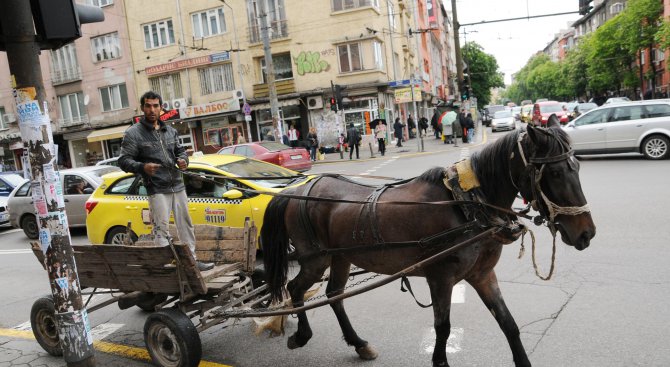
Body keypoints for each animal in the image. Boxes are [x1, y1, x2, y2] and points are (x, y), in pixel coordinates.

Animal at [262, 115, 600, 367]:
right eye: (554, 173)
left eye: (577, 166)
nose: (587, 233)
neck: (468, 204)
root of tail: (296, 189)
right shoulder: (441, 277)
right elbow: (443, 328)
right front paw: (440, 359)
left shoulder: (482, 275)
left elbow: (509, 324)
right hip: (314, 258)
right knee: (296, 288)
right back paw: (302, 335)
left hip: (341, 256)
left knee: (334, 295)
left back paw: (359, 344)